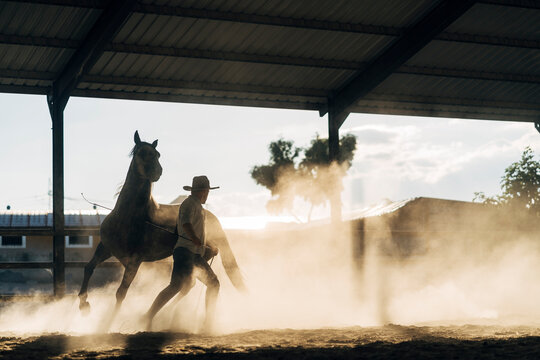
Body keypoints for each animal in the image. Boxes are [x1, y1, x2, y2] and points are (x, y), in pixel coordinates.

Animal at [76, 130, 245, 320]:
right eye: (141, 152)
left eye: (157, 154)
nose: (157, 172)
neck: (129, 217)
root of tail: (213, 218)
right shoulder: (105, 248)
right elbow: (88, 268)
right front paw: (84, 305)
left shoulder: (134, 261)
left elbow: (121, 292)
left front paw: (107, 321)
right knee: (187, 284)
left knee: (187, 285)